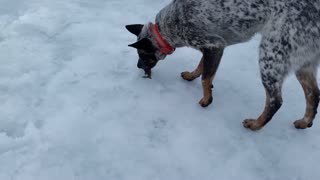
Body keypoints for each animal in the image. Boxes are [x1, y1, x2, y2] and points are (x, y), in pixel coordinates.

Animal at [125, 0, 320, 131]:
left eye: (141, 54)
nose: (138, 66)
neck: (167, 27)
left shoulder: (214, 45)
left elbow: (205, 78)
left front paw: (206, 100)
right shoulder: (212, 48)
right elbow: (202, 67)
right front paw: (191, 75)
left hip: (270, 56)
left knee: (275, 101)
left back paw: (255, 124)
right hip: (303, 65)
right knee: (313, 94)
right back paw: (304, 122)